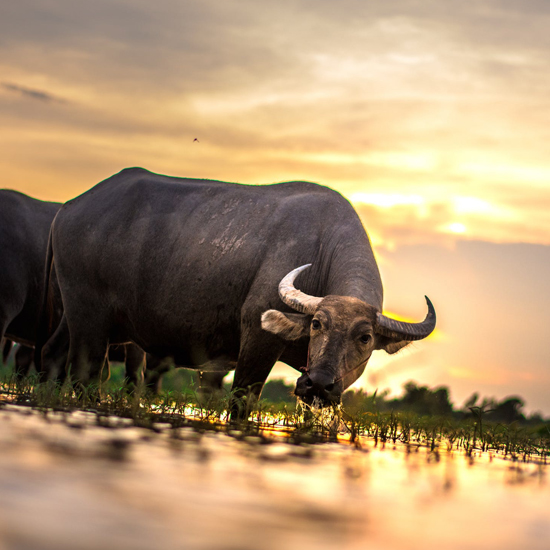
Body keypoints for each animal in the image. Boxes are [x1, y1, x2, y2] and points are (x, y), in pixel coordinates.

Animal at [37, 168, 436, 414]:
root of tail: (69, 207)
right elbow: (242, 404)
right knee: (87, 373)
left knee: (51, 354)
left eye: (365, 337)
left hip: (73, 315)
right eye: (317, 324)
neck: (322, 248)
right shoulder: (256, 341)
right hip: (90, 321)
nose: (319, 383)